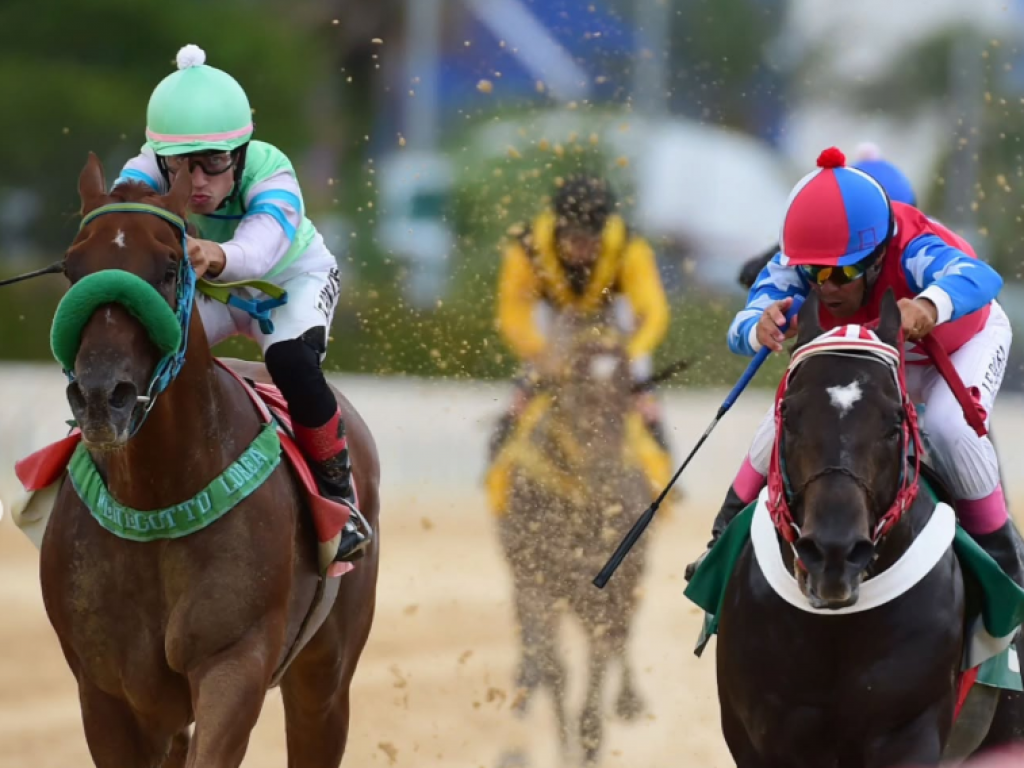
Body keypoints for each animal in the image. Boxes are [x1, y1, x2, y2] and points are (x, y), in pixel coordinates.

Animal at [37, 151, 380, 768]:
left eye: (171, 267)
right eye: (74, 269)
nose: (102, 396)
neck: (158, 497)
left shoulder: (233, 662)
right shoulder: (106, 692)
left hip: (325, 675)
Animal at [493, 309, 647, 765]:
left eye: (629, 388)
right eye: (574, 386)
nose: (609, 469)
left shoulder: (606, 594)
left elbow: (597, 673)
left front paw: (590, 740)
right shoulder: (534, 580)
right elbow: (553, 670)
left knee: (621, 642)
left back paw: (629, 699)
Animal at [716, 290, 1019, 765]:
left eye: (894, 423)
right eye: (789, 413)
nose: (834, 553)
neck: (835, 627)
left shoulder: (909, 730)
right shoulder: (760, 734)